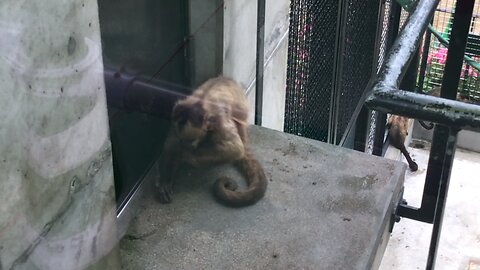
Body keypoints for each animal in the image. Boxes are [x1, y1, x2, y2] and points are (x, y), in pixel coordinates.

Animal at [155, 77, 266, 208]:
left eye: (191, 141)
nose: (187, 145)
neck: (201, 103)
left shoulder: (218, 121)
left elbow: (235, 150)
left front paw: (184, 154)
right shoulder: (175, 117)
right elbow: (170, 146)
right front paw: (165, 181)